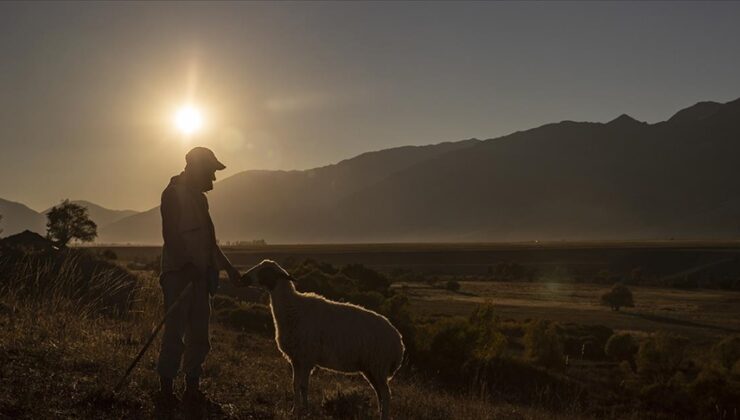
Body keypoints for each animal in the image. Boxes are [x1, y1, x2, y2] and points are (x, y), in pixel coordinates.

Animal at [241, 260, 404, 418]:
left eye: (266, 271)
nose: (243, 278)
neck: (293, 308)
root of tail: (399, 341)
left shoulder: (306, 358)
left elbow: (303, 386)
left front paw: (305, 410)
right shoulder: (296, 359)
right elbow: (295, 384)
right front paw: (294, 410)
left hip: (378, 365)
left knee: (386, 395)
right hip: (371, 368)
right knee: (379, 394)